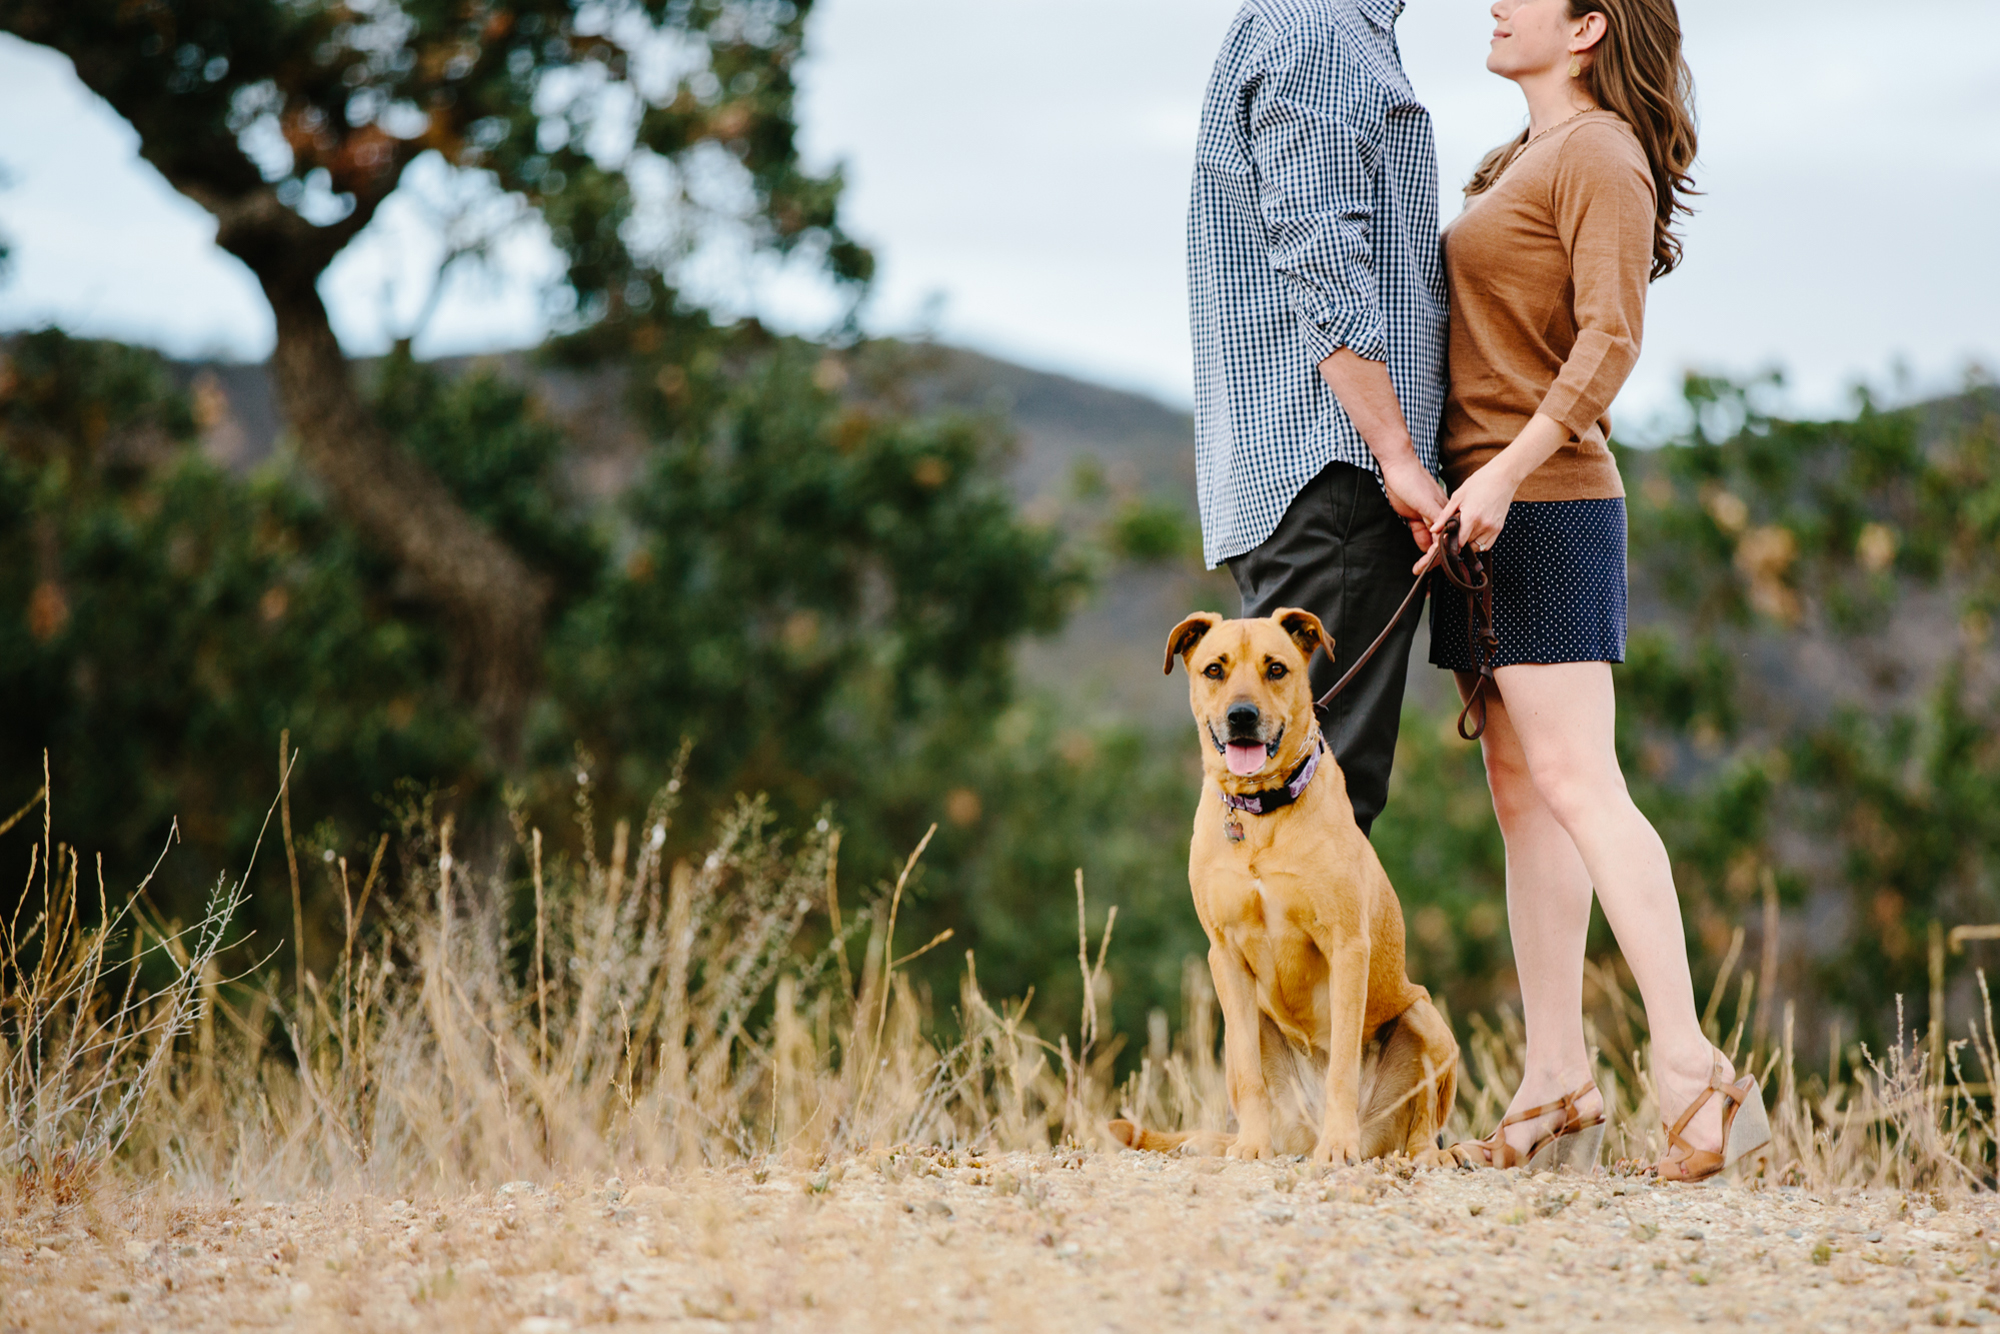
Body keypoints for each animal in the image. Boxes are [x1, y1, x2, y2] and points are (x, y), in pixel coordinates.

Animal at [1112, 612, 1456, 1160]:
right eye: (1214, 669)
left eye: (1276, 668)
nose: (1242, 716)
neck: (1262, 814)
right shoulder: (1224, 956)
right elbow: (1251, 1079)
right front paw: (1251, 1146)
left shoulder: (1347, 947)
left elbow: (1342, 1066)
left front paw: (1339, 1146)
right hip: (1245, 1028)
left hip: (1426, 1018)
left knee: (1423, 1121)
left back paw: (1421, 1153)